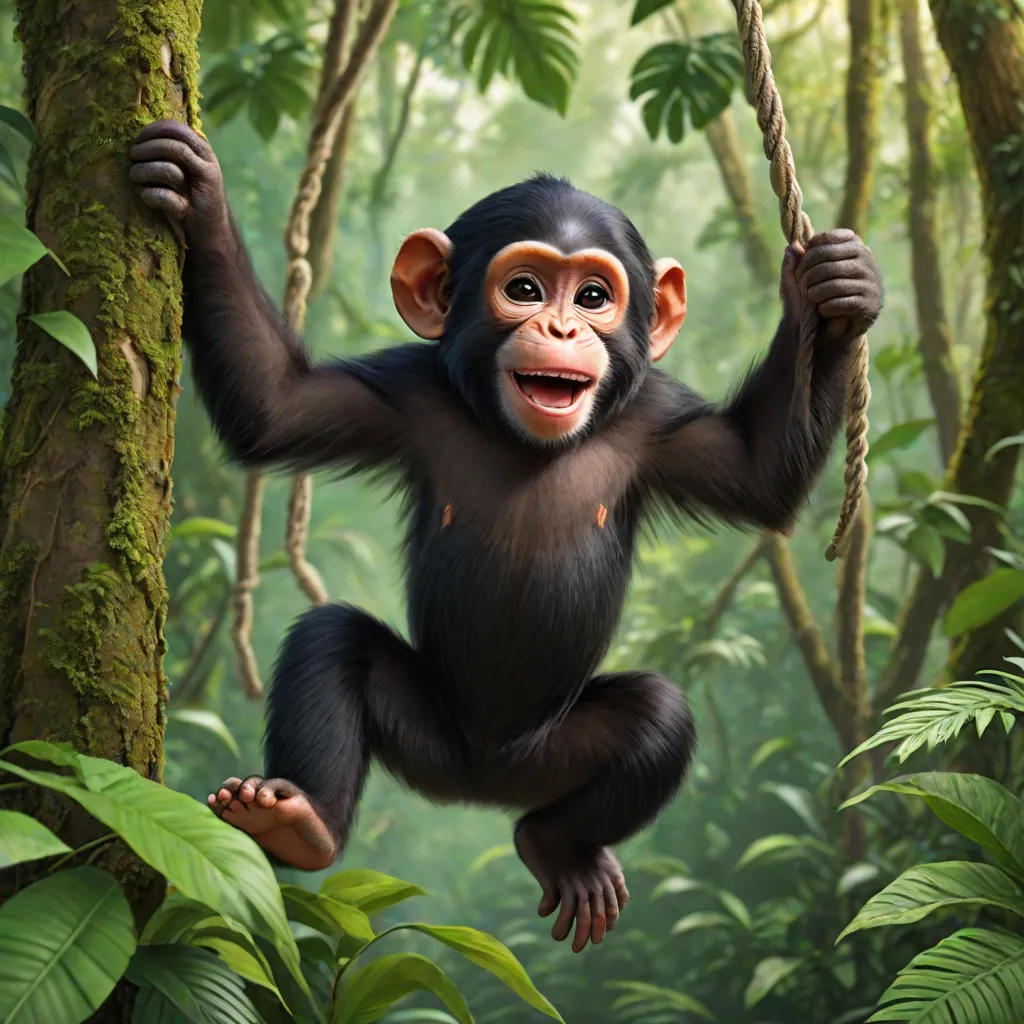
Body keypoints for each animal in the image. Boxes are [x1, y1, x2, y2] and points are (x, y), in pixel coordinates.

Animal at [131, 119, 882, 953]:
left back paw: (558, 848)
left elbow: (762, 473)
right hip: (423, 734)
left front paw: (838, 295)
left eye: (593, 296)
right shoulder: (408, 392)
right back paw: (301, 822)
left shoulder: (657, 423)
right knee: (334, 641)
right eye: (523, 289)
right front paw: (199, 198)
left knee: (655, 717)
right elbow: (275, 407)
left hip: (552, 759)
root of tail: (478, 786)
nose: (560, 326)